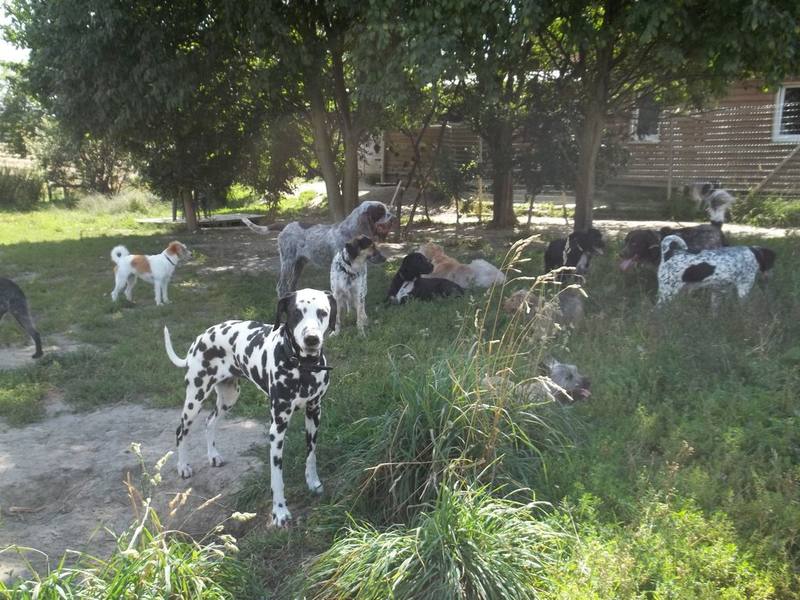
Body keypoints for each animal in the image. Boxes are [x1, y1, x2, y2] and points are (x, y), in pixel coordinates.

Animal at [163, 288, 336, 527]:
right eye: (296, 312)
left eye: (323, 312)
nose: (312, 338)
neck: (303, 368)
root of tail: (201, 337)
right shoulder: (277, 428)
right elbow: (277, 476)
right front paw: (279, 512)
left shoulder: (314, 413)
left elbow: (311, 456)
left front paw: (313, 483)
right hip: (195, 397)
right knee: (181, 431)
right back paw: (183, 466)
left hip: (228, 398)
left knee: (210, 422)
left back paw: (213, 456)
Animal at [242, 201, 394, 297]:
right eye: (381, 211)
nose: (393, 216)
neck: (351, 233)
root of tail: (285, 226)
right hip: (287, 262)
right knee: (281, 287)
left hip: (299, 264)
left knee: (291, 284)